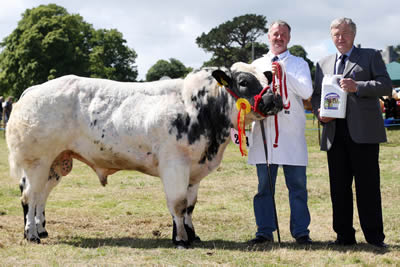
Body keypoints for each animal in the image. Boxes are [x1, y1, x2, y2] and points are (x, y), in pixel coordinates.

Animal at [6, 62, 282, 249]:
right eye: (244, 82)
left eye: (268, 79)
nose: (274, 99)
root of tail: (33, 90)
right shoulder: (174, 165)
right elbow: (178, 203)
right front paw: (180, 240)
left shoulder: (194, 170)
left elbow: (190, 206)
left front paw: (192, 235)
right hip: (37, 161)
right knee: (29, 197)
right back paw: (31, 235)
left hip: (56, 163)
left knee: (41, 196)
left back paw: (42, 230)